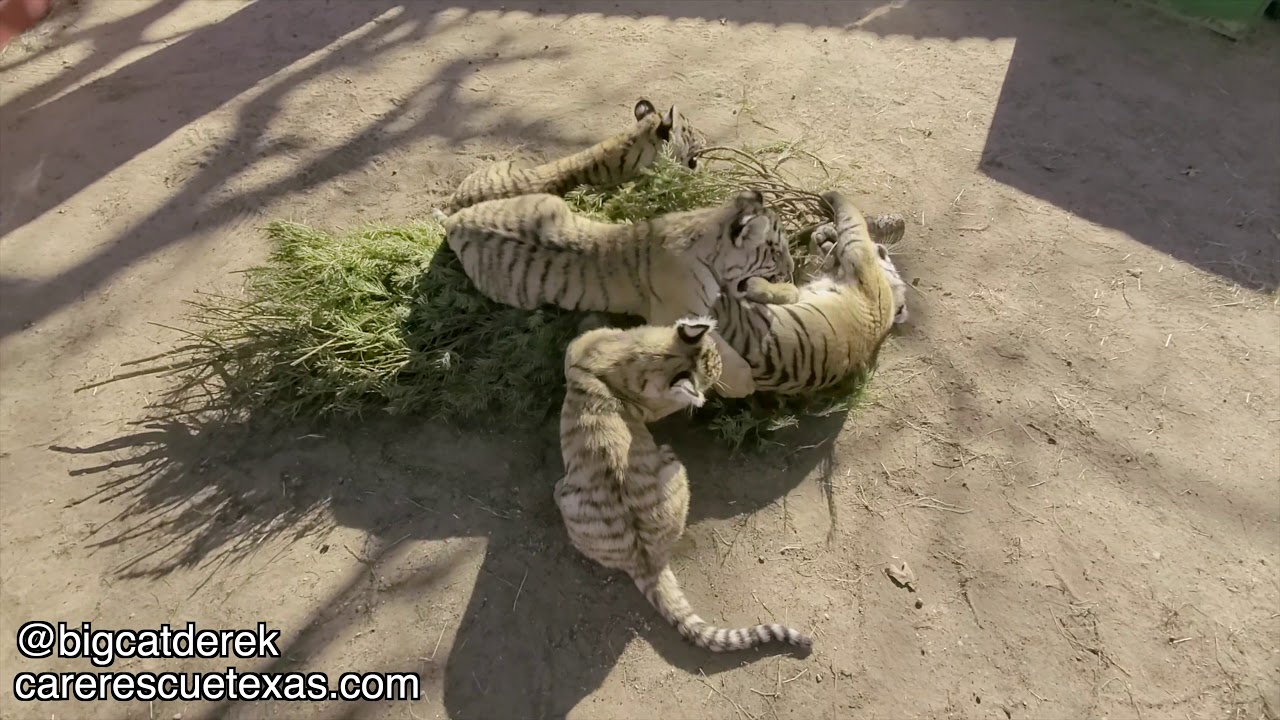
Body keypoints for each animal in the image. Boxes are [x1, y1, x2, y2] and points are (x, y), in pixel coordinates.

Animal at [441, 189, 796, 396]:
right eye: (776, 251)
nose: (792, 267)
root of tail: (455, 220)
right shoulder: (677, 314)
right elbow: (720, 347)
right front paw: (744, 384)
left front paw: (788, 292)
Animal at [710, 190, 910, 397]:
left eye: (883, 255)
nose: (882, 248)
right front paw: (823, 237)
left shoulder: (861, 257)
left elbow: (854, 220)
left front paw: (830, 196)